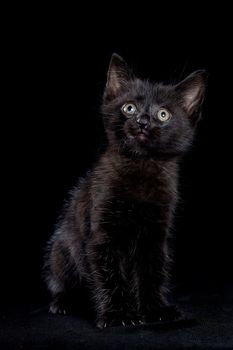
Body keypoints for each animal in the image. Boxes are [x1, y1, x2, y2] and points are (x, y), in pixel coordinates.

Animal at [43, 54, 206, 328]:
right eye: (129, 108)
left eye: (163, 114)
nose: (142, 122)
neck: (140, 169)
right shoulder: (102, 233)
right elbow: (110, 274)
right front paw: (118, 314)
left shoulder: (155, 234)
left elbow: (151, 272)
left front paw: (155, 309)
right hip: (59, 250)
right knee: (61, 282)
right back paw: (64, 302)